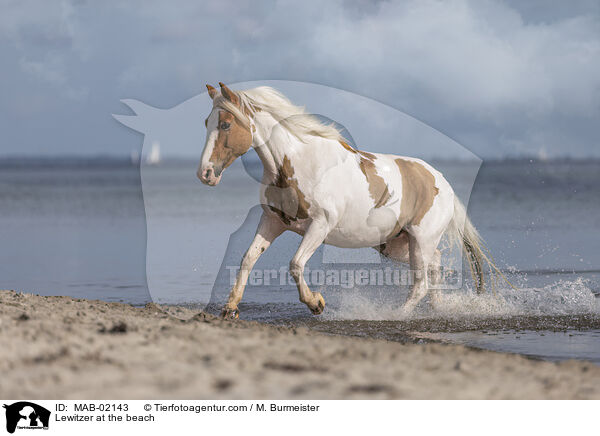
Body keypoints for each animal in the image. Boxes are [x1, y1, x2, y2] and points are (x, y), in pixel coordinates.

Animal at [199, 82, 490, 320]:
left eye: (225, 124)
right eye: (206, 122)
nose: (205, 173)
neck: (300, 164)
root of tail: (441, 181)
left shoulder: (320, 225)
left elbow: (296, 264)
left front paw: (316, 304)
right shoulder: (273, 221)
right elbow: (248, 259)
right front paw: (230, 309)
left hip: (421, 240)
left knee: (420, 285)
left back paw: (395, 315)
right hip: (398, 244)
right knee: (435, 266)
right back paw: (436, 309)